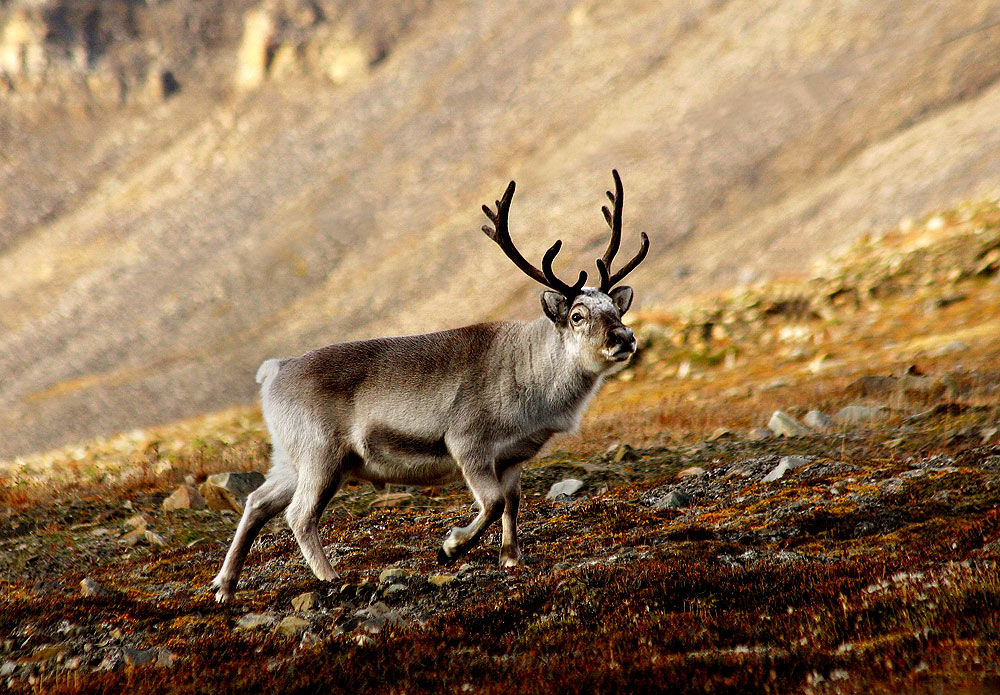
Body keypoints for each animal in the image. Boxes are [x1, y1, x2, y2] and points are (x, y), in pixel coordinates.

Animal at [211, 170, 649, 602]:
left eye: (615, 308)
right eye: (577, 315)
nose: (624, 337)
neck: (533, 374)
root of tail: (273, 371)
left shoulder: (512, 458)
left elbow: (512, 503)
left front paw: (511, 559)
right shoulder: (467, 443)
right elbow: (492, 503)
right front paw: (451, 547)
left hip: (290, 459)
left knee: (256, 502)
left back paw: (225, 587)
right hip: (322, 455)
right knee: (299, 515)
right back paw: (330, 577)